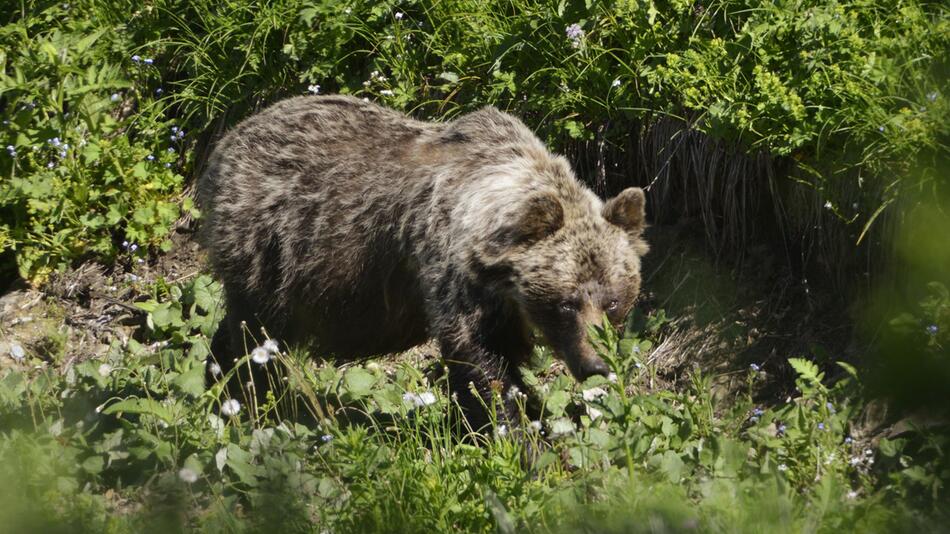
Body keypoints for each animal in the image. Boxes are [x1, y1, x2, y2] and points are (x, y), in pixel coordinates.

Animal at [199, 95, 648, 432]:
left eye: (613, 301)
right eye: (566, 303)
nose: (596, 364)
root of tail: (226, 141)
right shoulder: (452, 272)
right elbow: (482, 363)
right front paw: (518, 434)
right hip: (271, 250)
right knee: (253, 335)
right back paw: (247, 398)